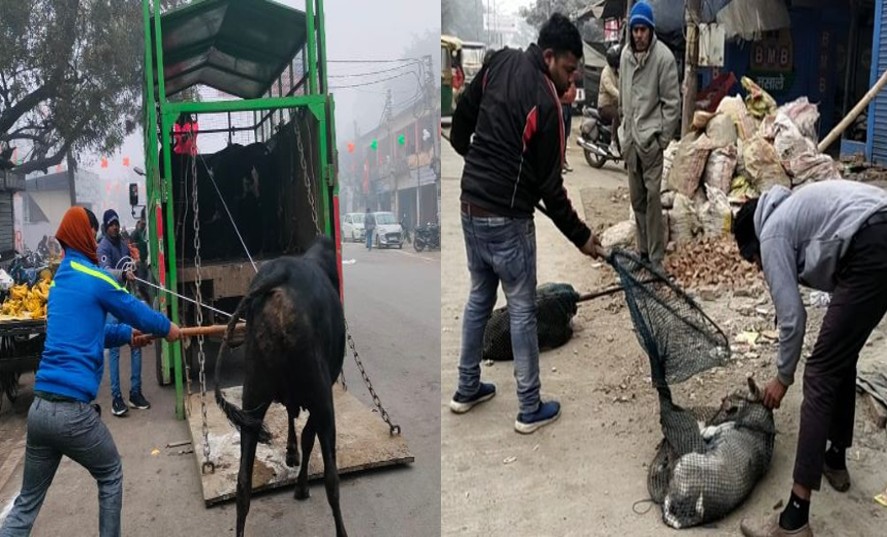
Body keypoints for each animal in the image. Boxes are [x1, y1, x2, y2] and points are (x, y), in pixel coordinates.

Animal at [213, 237, 348, 532]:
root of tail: (279, 278)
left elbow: (291, 416)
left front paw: (290, 453)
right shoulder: (322, 396)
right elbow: (308, 437)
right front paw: (301, 486)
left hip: (252, 396)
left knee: (243, 485)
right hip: (321, 397)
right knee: (332, 480)